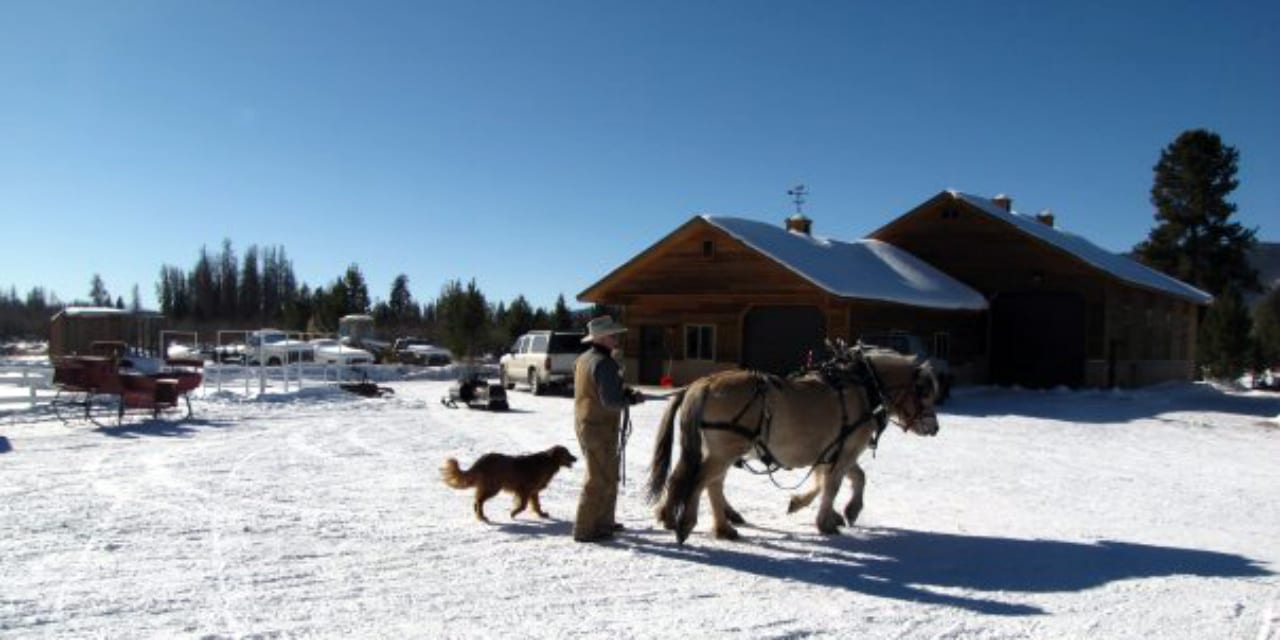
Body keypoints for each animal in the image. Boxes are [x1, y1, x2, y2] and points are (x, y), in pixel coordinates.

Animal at [442, 445, 578, 519]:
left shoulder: (533, 492)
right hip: (492, 487)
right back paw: (482, 517)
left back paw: (479, 516)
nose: (576, 458)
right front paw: (513, 513)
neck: (549, 461)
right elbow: (523, 505)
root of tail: (481, 461)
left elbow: (536, 505)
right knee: (478, 501)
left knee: (477, 501)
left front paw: (541, 514)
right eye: (567, 453)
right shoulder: (524, 489)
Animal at [650, 343, 942, 542]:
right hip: (726, 451)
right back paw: (688, 524)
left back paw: (721, 527)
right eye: (924, 392)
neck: (862, 387)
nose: (935, 428)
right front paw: (830, 520)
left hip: (720, 451)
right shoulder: (847, 450)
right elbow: (834, 485)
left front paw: (825, 509)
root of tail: (705, 383)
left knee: (708, 483)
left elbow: (843, 479)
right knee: (700, 481)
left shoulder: (833, 452)